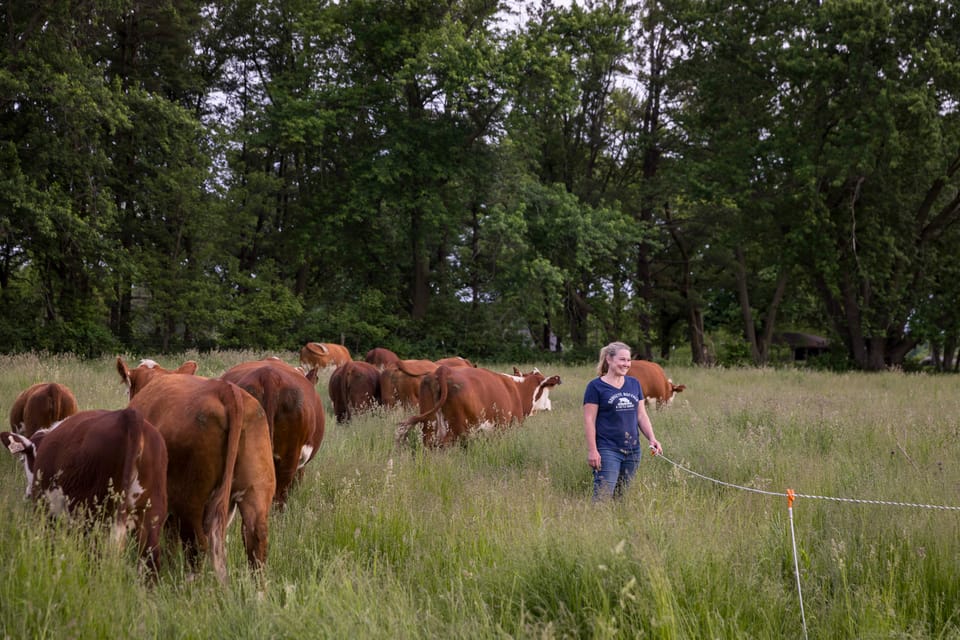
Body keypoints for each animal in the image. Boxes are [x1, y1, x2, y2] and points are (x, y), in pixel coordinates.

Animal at [0, 408, 167, 572]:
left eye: (24, 459)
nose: (27, 494)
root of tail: (128, 415)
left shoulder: (46, 511)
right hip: (150, 513)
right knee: (150, 558)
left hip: (94, 516)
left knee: (95, 555)